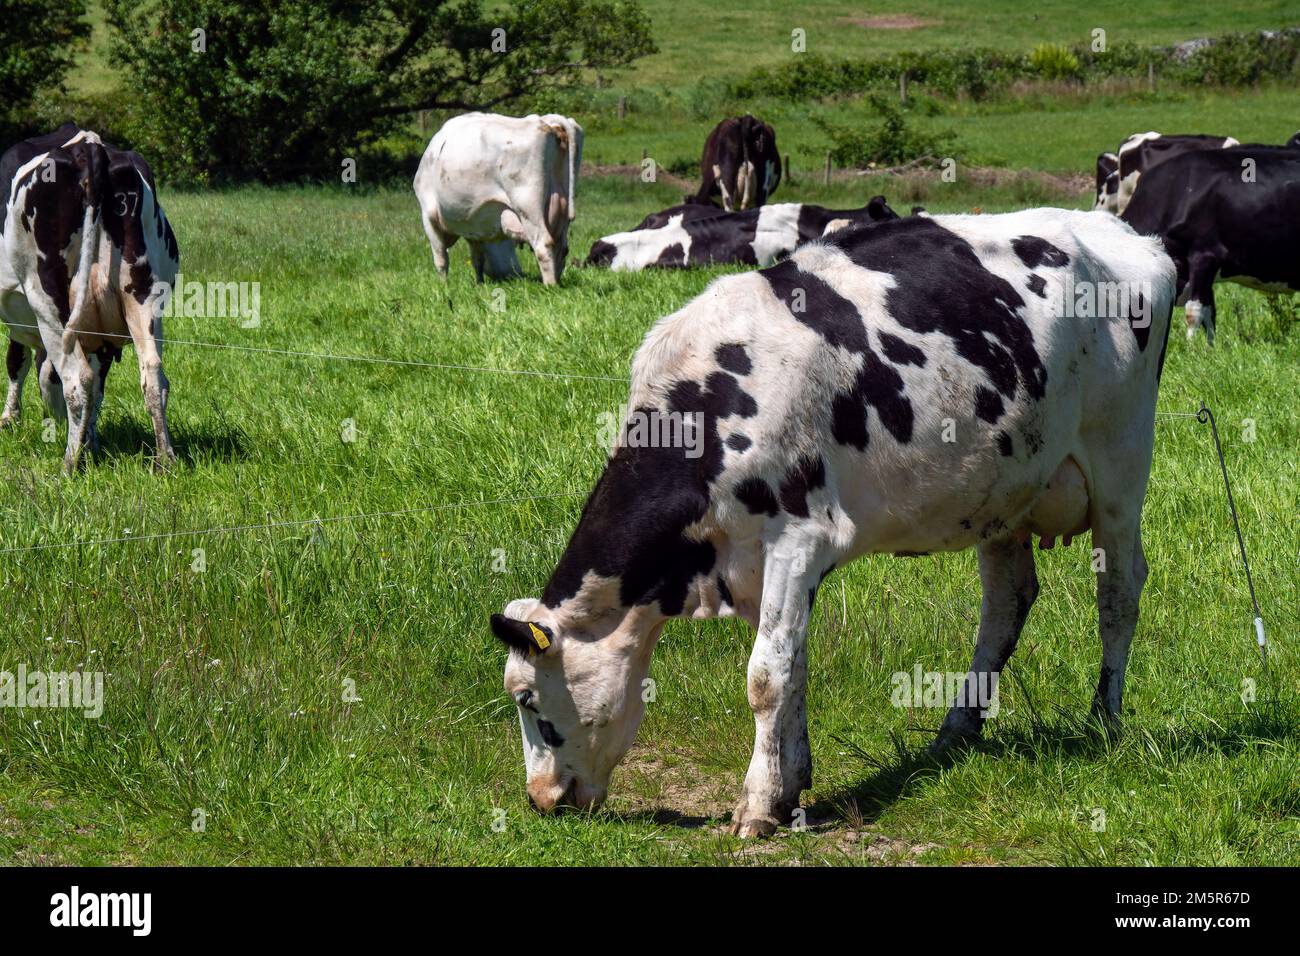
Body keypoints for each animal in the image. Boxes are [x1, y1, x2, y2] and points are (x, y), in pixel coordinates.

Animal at [1, 123, 179, 476]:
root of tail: (90, 146)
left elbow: (17, 362)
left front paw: (9, 420)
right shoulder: (101, 337)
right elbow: (98, 390)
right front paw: (91, 442)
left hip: (48, 302)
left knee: (77, 380)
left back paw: (70, 465)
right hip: (144, 296)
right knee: (153, 374)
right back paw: (164, 460)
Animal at [413, 111, 582, 283]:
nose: (516, 273)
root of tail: (545, 121)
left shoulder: (429, 215)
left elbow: (441, 258)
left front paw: (444, 285)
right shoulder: (474, 227)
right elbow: (477, 259)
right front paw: (479, 283)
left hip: (527, 205)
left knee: (544, 244)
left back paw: (549, 285)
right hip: (562, 211)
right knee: (561, 248)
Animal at [488, 208, 1180, 837]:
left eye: (527, 698)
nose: (541, 800)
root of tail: (1125, 232)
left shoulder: (798, 538)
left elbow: (766, 677)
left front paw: (756, 807)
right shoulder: (759, 563)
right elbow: (790, 666)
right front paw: (790, 788)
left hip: (1121, 468)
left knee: (1119, 592)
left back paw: (1104, 721)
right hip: (1004, 488)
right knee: (1007, 603)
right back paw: (956, 730)